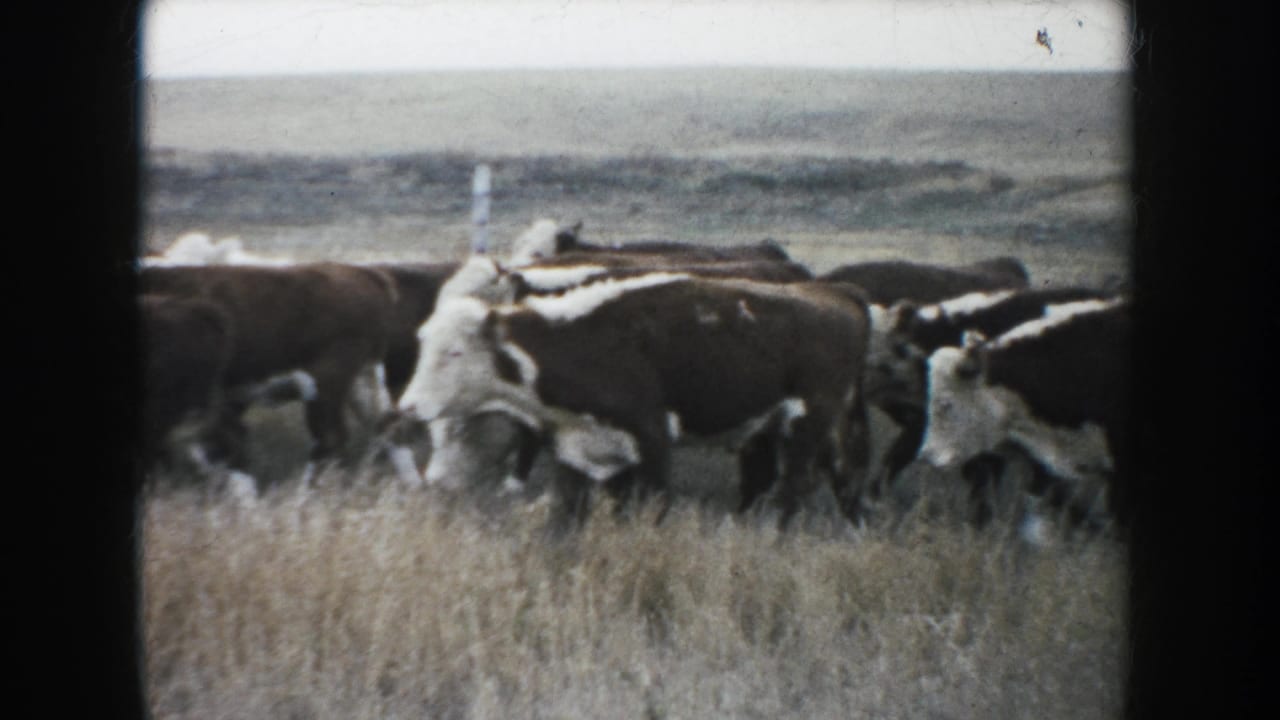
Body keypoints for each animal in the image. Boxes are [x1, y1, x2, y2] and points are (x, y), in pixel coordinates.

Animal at [398, 273, 873, 531]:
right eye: (422, 344)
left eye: (454, 352)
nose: (409, 406)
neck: (582, 343)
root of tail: (835, 294)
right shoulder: (579, 450)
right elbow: (565, 518)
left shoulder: (652, 445)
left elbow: (649, 511)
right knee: (840, 475)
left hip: (806, 424)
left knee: (792, 489)